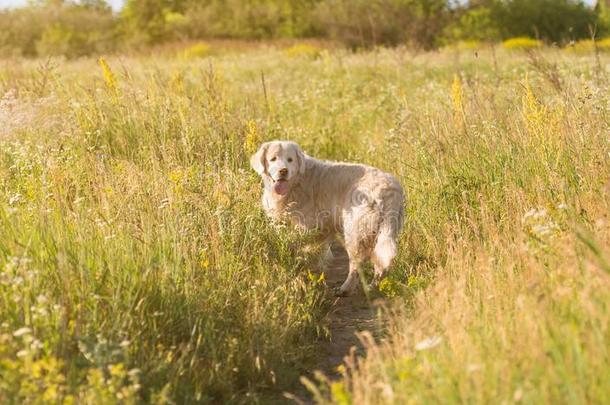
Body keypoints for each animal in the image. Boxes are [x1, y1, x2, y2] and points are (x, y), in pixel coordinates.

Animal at [249, 140, 402, 296]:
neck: (297, 183)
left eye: (290, 160)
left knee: (356, 264)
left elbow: (299, 246)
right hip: (380, 234)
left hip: (355, 233)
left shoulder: (307, 225)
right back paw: (373, 287)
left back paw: (345, 288)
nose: (283, 171)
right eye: (273, 159)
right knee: (380, 263)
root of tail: (389, 189)